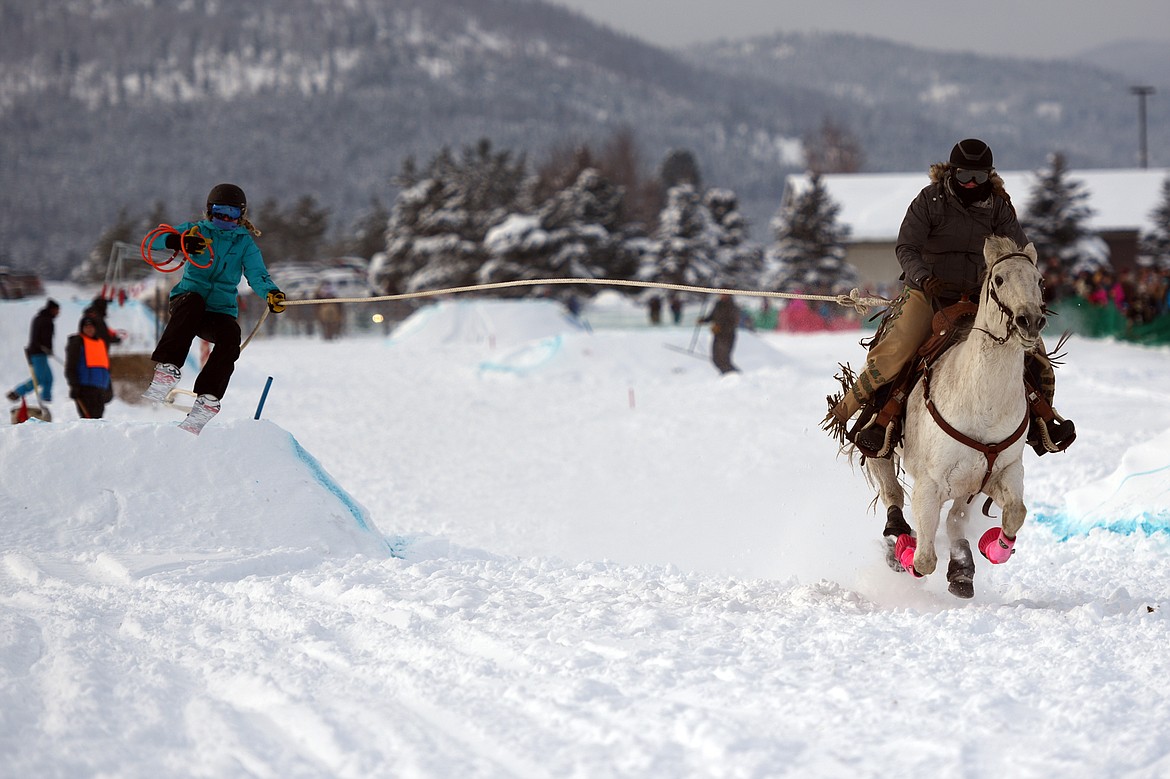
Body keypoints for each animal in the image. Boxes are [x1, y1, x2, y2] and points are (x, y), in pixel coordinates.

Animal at [865, 233, 1048, 596]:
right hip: (880, 447)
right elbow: (924, 560)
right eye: (999, 279)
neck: (983, 404)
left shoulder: (1002, 472)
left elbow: (1015, 512)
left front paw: (991, 549)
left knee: (955, 520)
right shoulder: (930, 484)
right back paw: (897, 541)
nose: (1030, 321)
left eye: (1039, 280)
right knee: (892, 494)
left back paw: (961, 569)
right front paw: (906, 552)